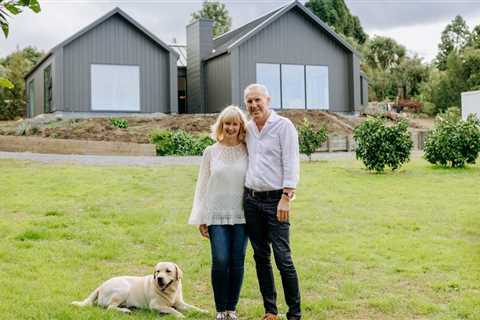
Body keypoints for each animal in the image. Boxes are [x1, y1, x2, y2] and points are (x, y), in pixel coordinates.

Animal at [72, 262, 207, 318]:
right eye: (157, 271)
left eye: (168, 271)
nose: (159, 278)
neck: (170, 291)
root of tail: (101, 285)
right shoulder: (155, 306)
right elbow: (172, 310)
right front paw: (181, 316)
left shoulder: (180, 303)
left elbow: (193, 307)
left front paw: (204, 311)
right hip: (123, 288)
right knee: (110, 307)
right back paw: (125, 311)